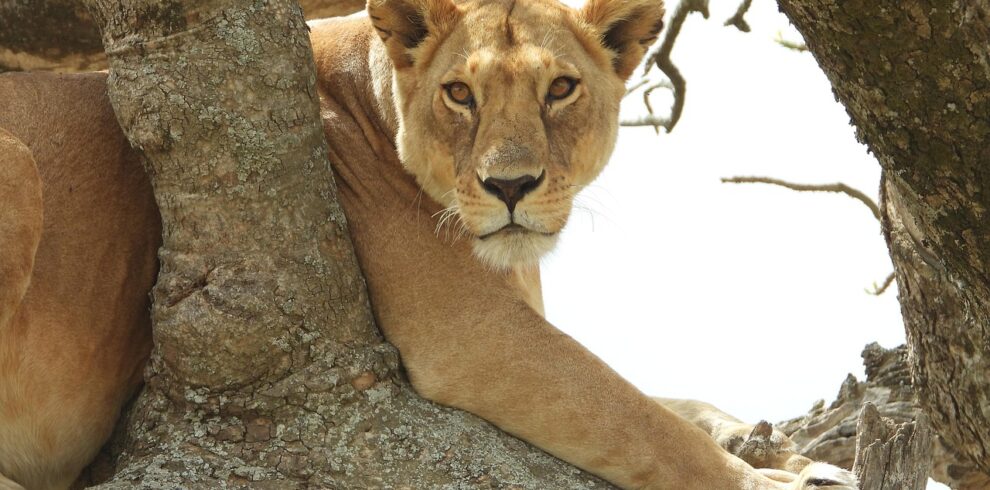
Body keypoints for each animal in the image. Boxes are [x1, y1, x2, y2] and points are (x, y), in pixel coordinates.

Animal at [0, 0, 859, 488]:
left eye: (560, 88)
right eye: (459, 94)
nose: (510, 185)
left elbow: (671, 401)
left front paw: (788, 455)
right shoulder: (470, 336)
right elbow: (636, 418)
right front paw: (770, 483)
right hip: (18, 162)